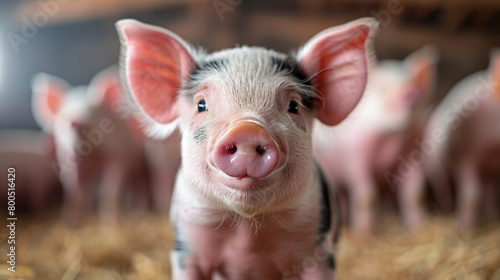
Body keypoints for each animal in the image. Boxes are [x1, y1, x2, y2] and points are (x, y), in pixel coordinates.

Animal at [31, 66, 150, 225]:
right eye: (64, 118)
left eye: (95, 114)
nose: (76, 122)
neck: (93, 156)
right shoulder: (68, 160)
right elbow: (74, 188)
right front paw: (71, 221)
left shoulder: (119, 155)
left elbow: (110, 187)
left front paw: (111, 222)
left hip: (142, 162)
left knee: (140, 183)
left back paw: (139, 212)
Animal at [114, 17, 378, 278]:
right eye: (201, 105)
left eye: (293, 106)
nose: (248, 130)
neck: (247, 228)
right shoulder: (187, 246)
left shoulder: (317, 249)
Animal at [314, 46, 440, 234]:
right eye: (381, 88)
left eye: (414, 83)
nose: (410, 91)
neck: (393, 137)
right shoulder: (354, 154)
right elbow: (366, 195)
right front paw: (363, 233)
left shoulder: (414, 151)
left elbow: (414, 195)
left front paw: (419, 227)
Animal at [420, 49, 500, 229]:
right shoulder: (463, 154)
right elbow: (473, 193)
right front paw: (465, 228)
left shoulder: (493, 166)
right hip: (433, 165)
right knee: (443, 187)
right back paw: (447, 212)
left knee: (490, 191)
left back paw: (491, 219)